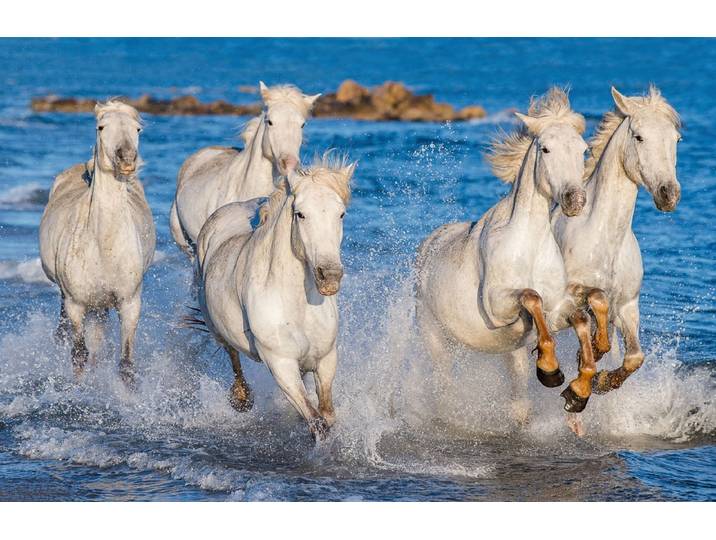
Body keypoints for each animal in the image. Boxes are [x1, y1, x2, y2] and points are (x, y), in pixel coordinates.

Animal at [39, 101, 155, 384]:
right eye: (101, 127)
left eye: (137, 129)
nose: (127, 160)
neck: (104, 245)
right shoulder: (76, 304)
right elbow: (79, 353)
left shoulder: (130, 303)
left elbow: (125, 364)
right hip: (72, 300)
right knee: (67, 335)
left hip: (100, 306)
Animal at [196, 156, 354, 440]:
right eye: (300, 214)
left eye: (341, 213)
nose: (330, 277)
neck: (296, 305)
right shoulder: (281, 365)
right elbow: (317, 422)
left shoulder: (326, 359)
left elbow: (327, 413)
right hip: (217, 329)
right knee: (231, 354)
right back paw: (241, 398)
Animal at [415, 88, 598, 426]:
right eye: (546, 149)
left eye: (582, 150)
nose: (575, 200)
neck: (530, 245)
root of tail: (428, 245)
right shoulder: (497, 306)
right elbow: (531, 296)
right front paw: (550, 371)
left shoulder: (555, 308)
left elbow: (579, 317)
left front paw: (577, 392)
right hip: (434, 338)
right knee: (443, 387)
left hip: (508, 353)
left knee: (518, 398)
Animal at [551, 86, 682, 400]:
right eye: (639, 136)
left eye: (676, 138)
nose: (668, 194)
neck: (605, 240)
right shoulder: (567, 298)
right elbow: (594, 301)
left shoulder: (627, 306)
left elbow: (634, 357)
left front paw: (602, 381)